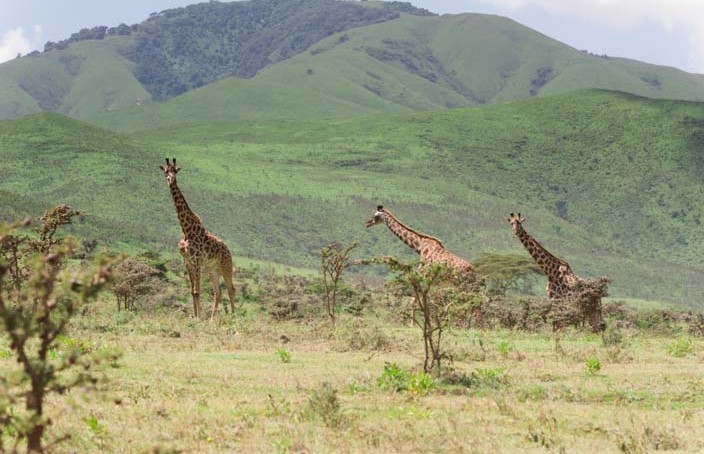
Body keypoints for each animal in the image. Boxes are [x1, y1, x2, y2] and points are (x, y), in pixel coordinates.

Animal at [160, 160, 236, 320]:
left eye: (176, 171)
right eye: (166, 171)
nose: (171, 180)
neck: (186, 229)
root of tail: (228, 250)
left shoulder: (196, 262)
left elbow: (197, 291)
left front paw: (199, 317)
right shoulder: (187, 263)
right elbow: (192, 291)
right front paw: (194, 316)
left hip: (225, 266)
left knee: (231, 289)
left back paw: (234, 316)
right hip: (212, 269)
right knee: (218, 292)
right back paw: (212, 319)